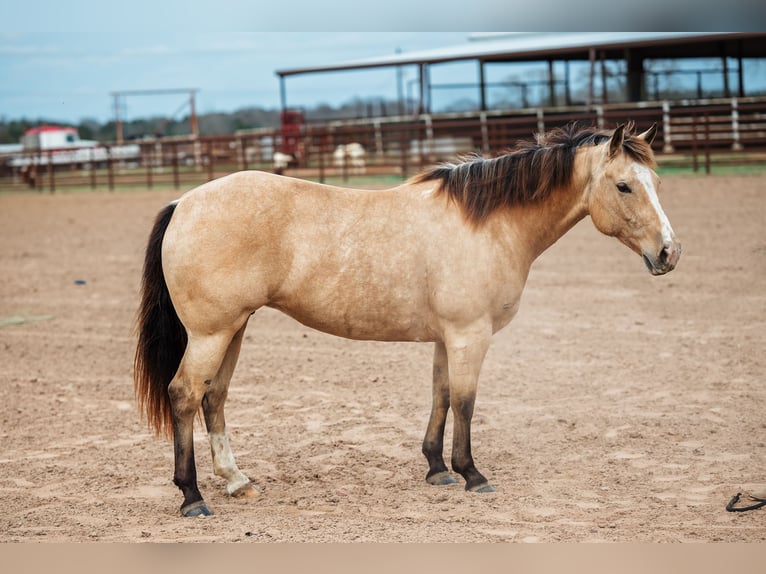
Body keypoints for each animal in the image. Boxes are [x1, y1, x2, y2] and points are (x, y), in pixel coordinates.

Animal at [134, 122, 681, 517]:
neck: (488, 224)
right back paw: (192, 497)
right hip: (212, 333)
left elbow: (440, 396)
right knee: (185, 395)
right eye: (624, 186)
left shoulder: (447, 338)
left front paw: (437, 468)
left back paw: (236, 482)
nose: (669, 253)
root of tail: (184, 202)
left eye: (656, 182)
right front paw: (472, 474)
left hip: (235, 328)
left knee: (215, 397)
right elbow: (465, 403)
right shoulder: (470, 336)